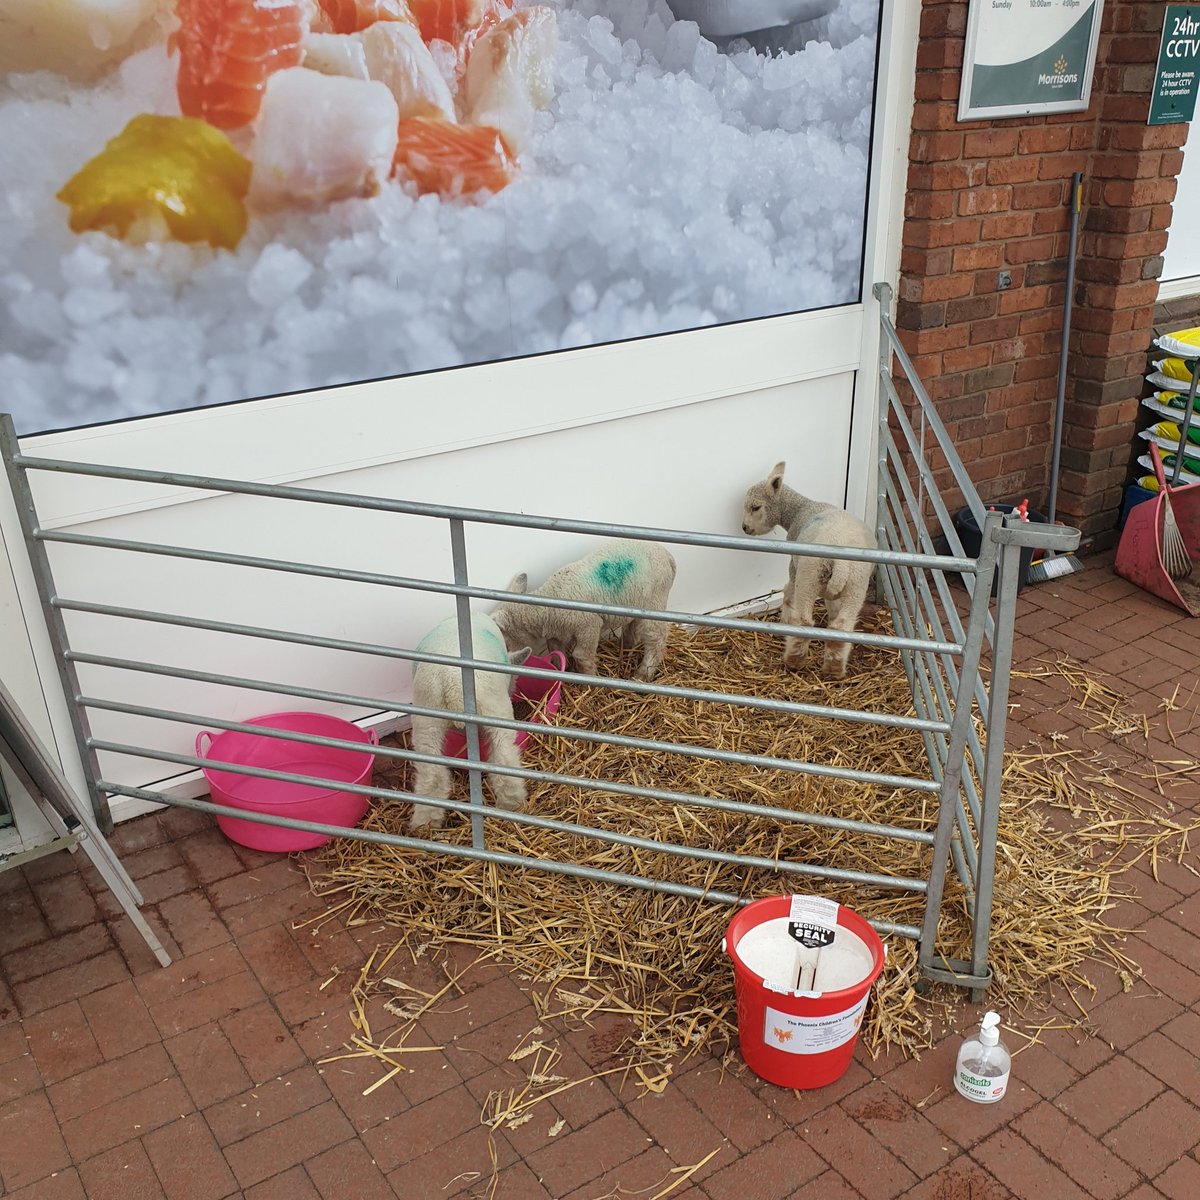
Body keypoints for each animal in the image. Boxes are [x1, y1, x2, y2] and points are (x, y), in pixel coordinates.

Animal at [408, 614, 530, 830]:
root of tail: (453, 686)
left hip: (426, 719)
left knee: (432, 775)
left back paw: (426, 824)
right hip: (495, 710)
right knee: (504, 760)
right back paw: (513, 804)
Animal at [487, 540, 676, 681]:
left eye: (504, 640)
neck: (547, 605)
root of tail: (668, 555)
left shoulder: (589, 626)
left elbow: (582, 655)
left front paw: (591, 679)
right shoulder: (557, 633)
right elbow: (556, 650)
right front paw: (563, 669)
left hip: (656, 600)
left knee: (656, 637)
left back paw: (643, 673)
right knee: (633, 628)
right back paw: (626, 646)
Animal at [734, 460, 878, 681]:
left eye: (755, 507)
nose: (745, 528)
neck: (801, 509)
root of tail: (840, 563)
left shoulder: (795, 565)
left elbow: (788, 592)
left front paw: (784, 621)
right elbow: (832, 608)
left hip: (808, 577)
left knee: (803, 620)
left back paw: (794, 661)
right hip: (856, 585)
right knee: (841, 626)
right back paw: (834, 669)